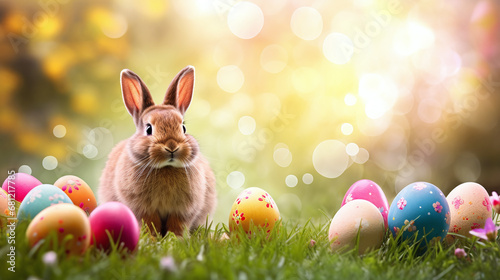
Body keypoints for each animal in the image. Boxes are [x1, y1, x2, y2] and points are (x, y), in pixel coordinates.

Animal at [98, 65, 216, 236]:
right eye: (148, 129)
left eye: (183, 128)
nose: (172, 146)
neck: (166, 168)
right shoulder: (143, 209)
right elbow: (149, 223)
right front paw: (153, 238)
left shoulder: (182, 211)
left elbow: (177, 225)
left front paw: (175, 239)